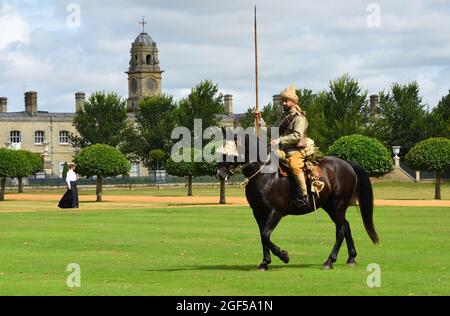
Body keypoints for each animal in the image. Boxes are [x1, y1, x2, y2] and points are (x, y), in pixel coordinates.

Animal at [216, 135, 378, 270]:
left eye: (230, 152)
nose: (220, 174)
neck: (264, 174)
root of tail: (347, 164)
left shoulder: (275, 212)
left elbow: (266, 235)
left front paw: (284, 256)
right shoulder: (258, 212)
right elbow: (263, 236)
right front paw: (265, 262)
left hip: (338, 206)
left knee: (340, 231)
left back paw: (329, 261)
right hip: (331, 207)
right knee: (346, 226)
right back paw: (351, 258)